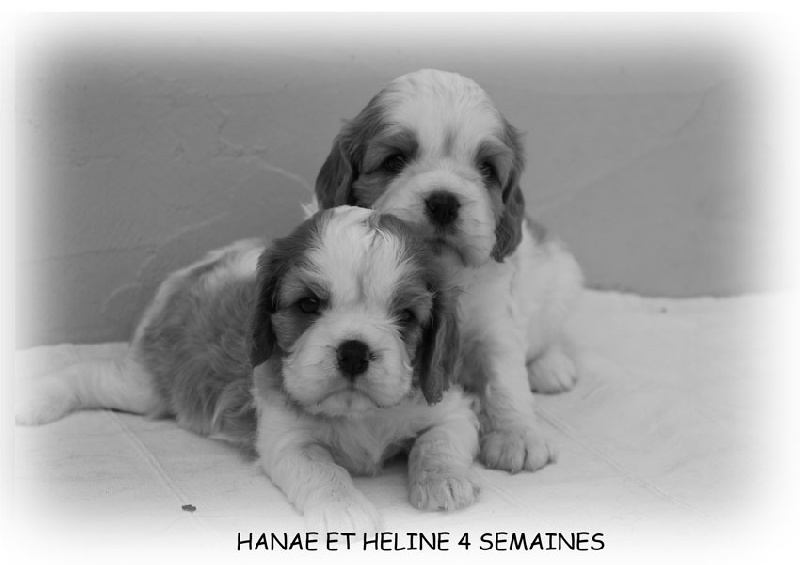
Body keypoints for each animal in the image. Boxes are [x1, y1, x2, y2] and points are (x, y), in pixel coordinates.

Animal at [16, 206, 480, 532]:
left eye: (406, 316)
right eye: (309, 304)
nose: (353, 351)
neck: (358, 414)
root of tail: (197, 269)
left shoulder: (451, 408)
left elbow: (438, 442)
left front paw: (444, 481)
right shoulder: (288, 441)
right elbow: (323, 470)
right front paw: (344, 509)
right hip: (147, 384)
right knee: (87, 375)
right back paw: (36, 400)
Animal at [313, 69, 583, 474]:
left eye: (487, 169)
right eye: (394, 160)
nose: (443, 202)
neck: (440, 270)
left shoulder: (494, 325)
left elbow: (506, 378)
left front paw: (517, 435)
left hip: (562, 278)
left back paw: (549, 367)